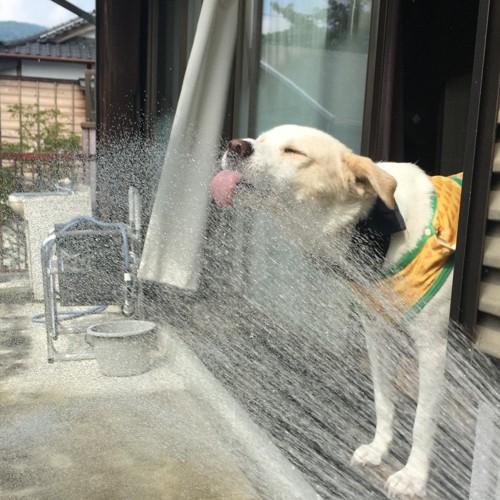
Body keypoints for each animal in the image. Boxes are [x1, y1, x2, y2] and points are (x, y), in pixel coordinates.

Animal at [210, 124, 460, 496]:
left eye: (294, 152)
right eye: (261, 138)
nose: (236, 145)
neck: (374, 227)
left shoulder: (434, 346)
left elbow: (423, 419)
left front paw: (412, 478)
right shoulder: (377, 331)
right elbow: (383, 397)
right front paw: (379, 449)